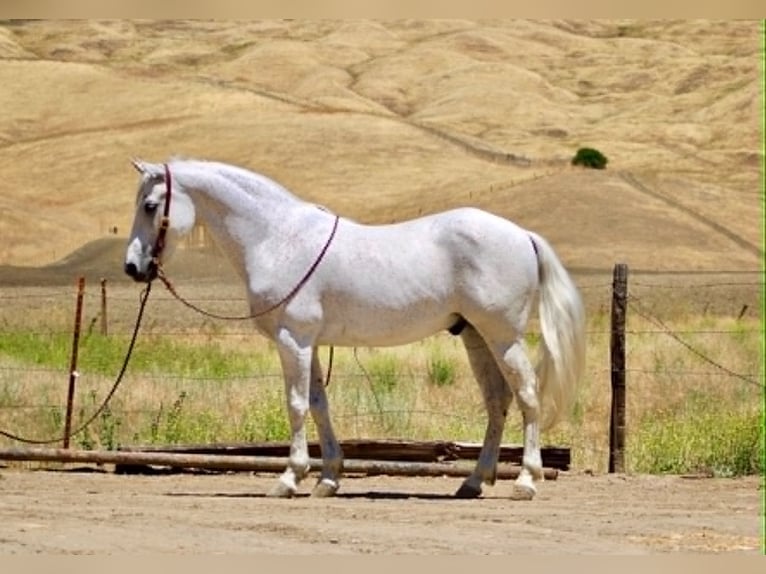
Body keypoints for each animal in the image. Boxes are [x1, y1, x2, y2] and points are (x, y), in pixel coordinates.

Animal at [124, 158, 586, 500]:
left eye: (150, 205)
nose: (132, 268)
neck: (277, 238)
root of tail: (522, 234)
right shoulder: (308, 342)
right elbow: (318, 404)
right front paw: (328, 478)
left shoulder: (293, 339)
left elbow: (296, 405)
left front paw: (289, 479)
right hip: (476, 336)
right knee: (497, 401)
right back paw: (473, 482)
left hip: (503, 336)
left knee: (527, 396)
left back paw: (526, 481)